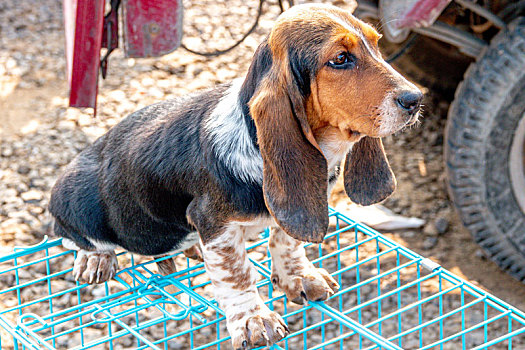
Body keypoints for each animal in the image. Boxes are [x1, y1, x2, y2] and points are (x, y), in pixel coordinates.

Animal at [49, 4, 422, 348]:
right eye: (341, 58)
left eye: (377, 45)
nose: (416, 98)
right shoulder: (214, 223)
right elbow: (236, 273)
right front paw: (254, 320)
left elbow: (285, 239)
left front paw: (298, 277)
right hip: (77, 200)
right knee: (68, 234)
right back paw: (95, 258)